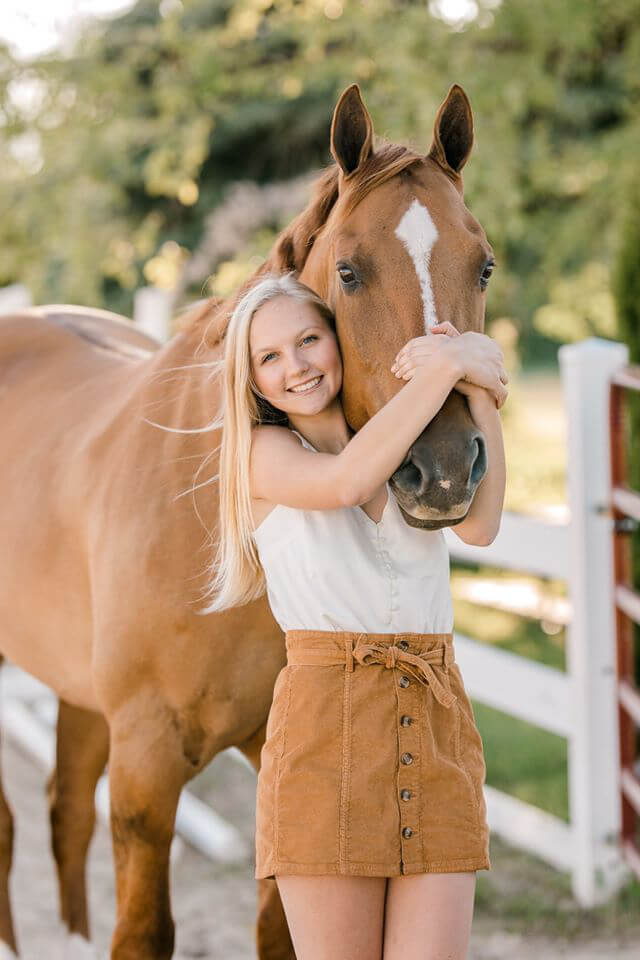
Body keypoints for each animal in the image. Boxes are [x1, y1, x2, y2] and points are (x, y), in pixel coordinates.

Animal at [0, 82, 494, 959]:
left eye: (486, 266)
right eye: (348, 270)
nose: (442, 469)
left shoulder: (274, 758)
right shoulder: (146, 765)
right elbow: (142, 930)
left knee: (64, 812)